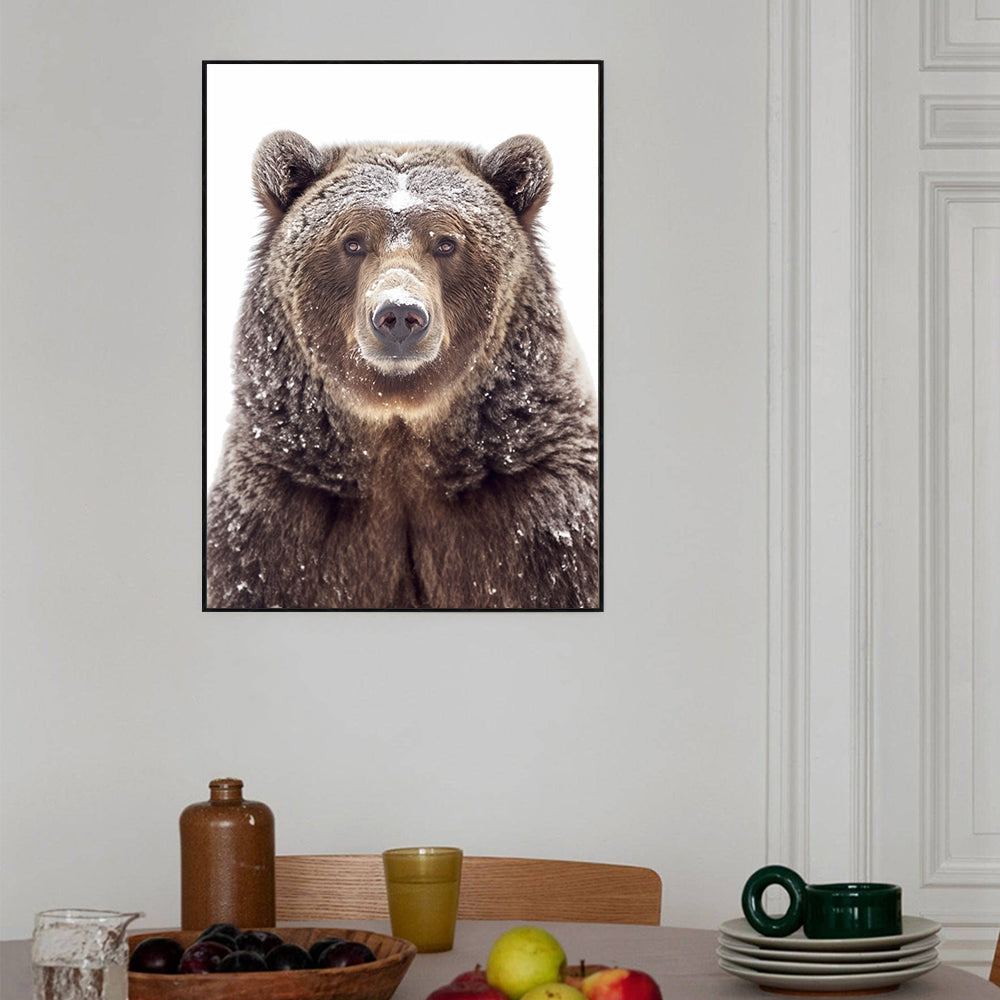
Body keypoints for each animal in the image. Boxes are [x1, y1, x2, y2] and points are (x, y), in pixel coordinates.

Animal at [206, 130, 599, 609]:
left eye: (446, 242)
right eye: (353, 242)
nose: (398, 313)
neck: (401, 431)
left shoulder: (538, 511)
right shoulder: (280, 513)